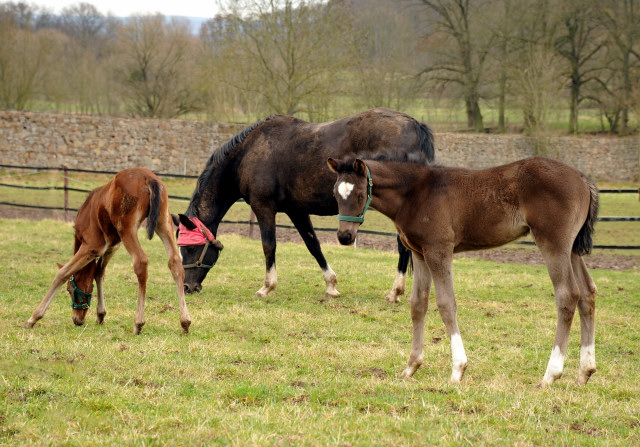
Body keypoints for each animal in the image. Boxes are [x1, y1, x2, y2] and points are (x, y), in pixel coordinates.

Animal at [25, 169, 190, 336]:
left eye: (69, 290)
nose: (78, 320)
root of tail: (148, 177)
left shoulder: (92, 246)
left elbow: (63, 273)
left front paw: (33, 318)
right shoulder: (112, 246)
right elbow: (99, 272)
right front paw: (100, 314)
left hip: (127, 229)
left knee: (141, 261)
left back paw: (138, 323)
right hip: (163, 222)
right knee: (175, 262)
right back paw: (185, 322)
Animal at [178, 108, 432, 300]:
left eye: (190, 248)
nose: (187, 287)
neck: (249, 154)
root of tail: (414, 125)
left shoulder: (263, 208)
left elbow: (269, 245)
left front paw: (267, 287)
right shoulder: (296, 210)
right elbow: (313, 245)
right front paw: (331, 285)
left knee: (403, 247)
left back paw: (395, 291)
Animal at [330, 156, 600, 386]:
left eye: (360, 194)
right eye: (335, 194)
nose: (345, 236)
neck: (415, 193)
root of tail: (581, 178)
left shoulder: (439, 250)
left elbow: (446, 304)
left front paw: (458, 369)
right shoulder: (419, 253)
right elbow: (418, 305)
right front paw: (411, 367)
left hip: (553, 243)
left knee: (568, 295)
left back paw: (550, 375)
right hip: (572, 249)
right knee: (587, 293)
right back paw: (584, 372)